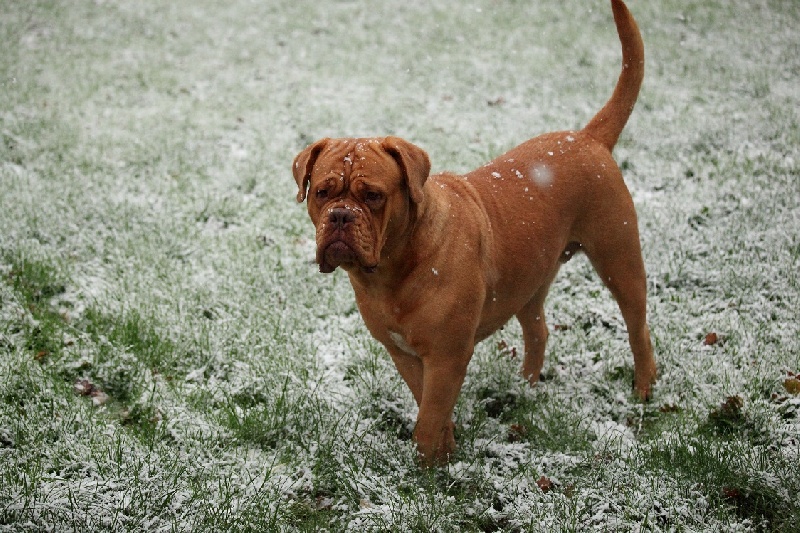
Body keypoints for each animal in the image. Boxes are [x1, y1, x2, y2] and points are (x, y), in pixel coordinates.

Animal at [294, 0, 656, 464]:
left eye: (372, 195)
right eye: (322, 191)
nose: (340, 216)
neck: (392, 270)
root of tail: (588, 137)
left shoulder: (447, 355)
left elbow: (429, 416)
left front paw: (430, 466)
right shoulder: (405, 354)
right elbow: (429, 404)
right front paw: (446, 452)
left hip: (618, 257)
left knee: (637, 326)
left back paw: (644, 389)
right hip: (530, 276)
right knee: (537, 329)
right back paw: (524, 387)